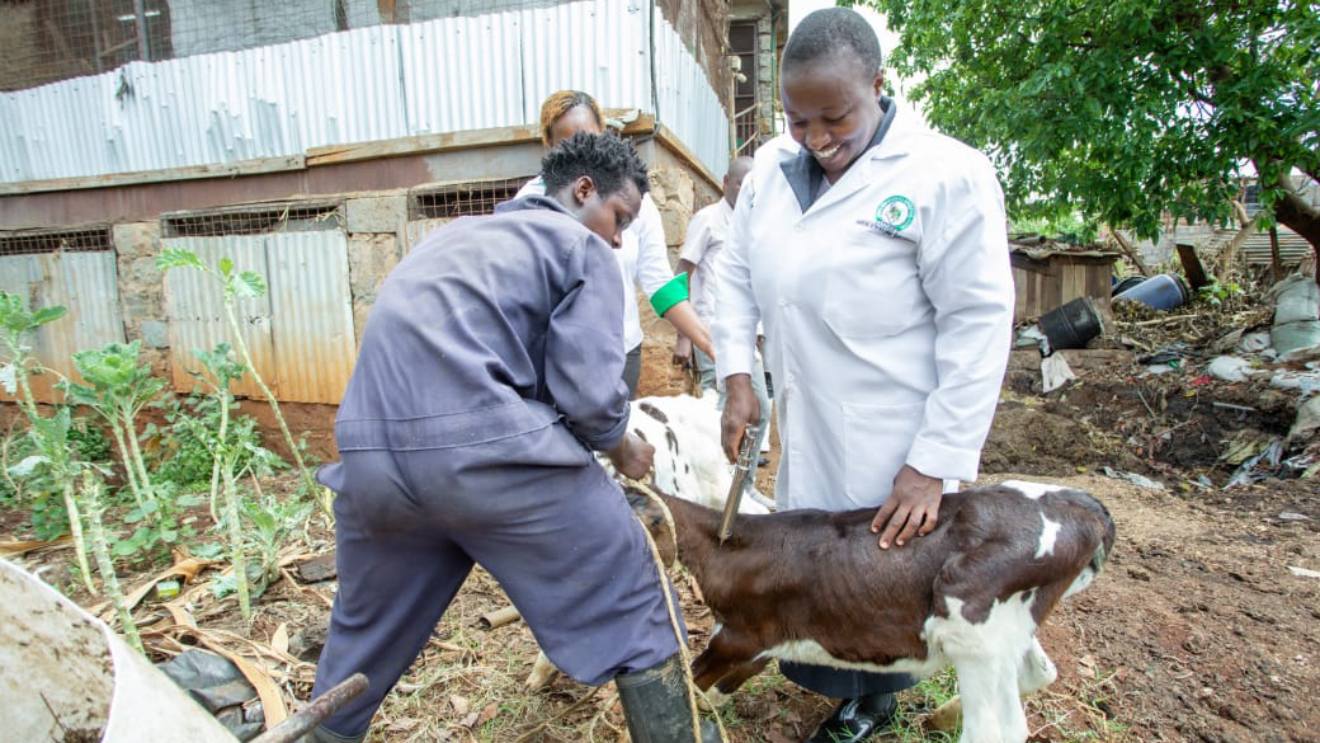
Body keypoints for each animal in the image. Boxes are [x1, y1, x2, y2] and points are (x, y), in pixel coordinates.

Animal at [628, 480, 1114, 739]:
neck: (727, 544)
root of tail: (1084, 506)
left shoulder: (741, 634)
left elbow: (691, 680)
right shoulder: (765, 642)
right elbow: (713, 687)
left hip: (970, 619)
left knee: (997, 730)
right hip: (1010, 626)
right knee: (1040, 672)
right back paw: (939, 718)